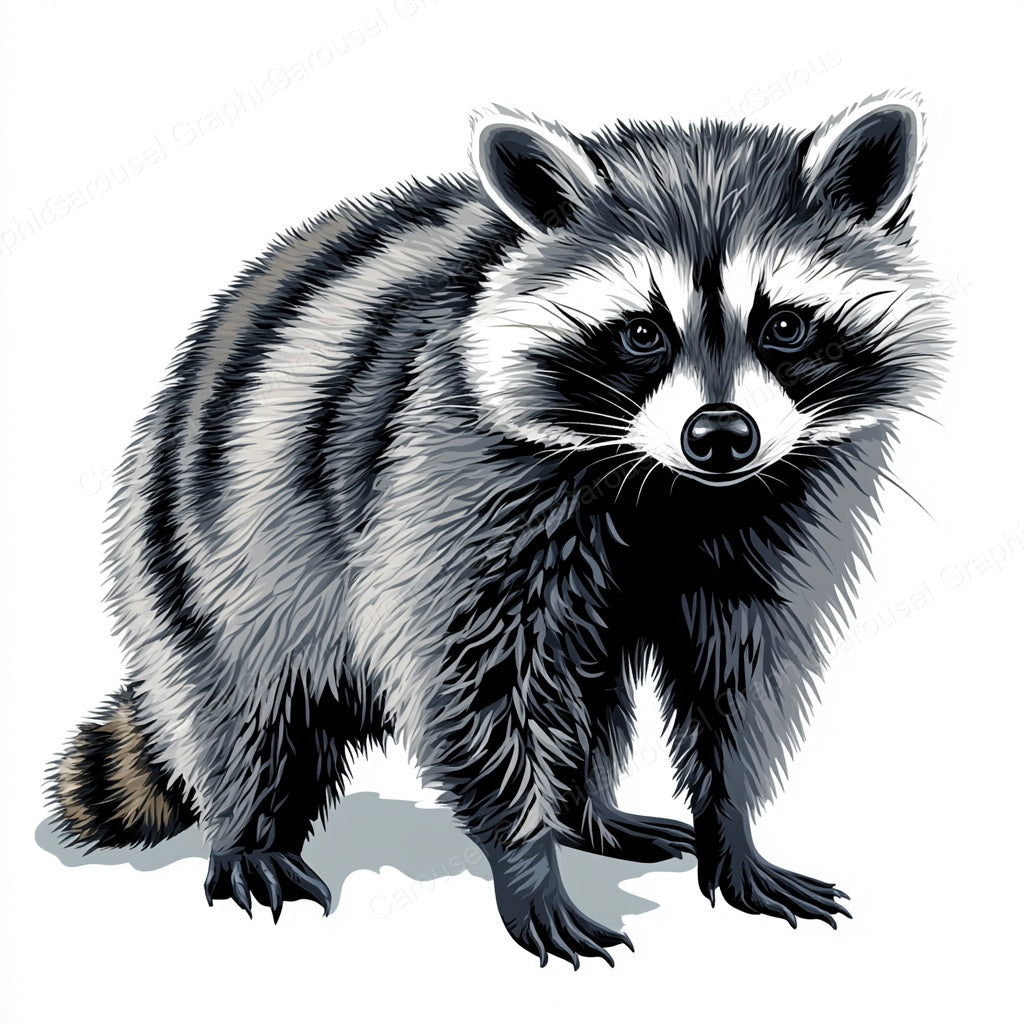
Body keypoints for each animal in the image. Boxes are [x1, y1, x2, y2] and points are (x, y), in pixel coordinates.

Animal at [50, 92, 946, 967]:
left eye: (785, 326)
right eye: (642, 332)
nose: (721, 435)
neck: (671, 487)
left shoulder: (782, 497)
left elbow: (740, 669)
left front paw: (730, 829)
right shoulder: (452, 470)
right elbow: (470, 675)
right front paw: (526, 864)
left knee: (585, 694)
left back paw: (587, 813)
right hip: (207, 547)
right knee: (247, 700)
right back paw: (249, 831)